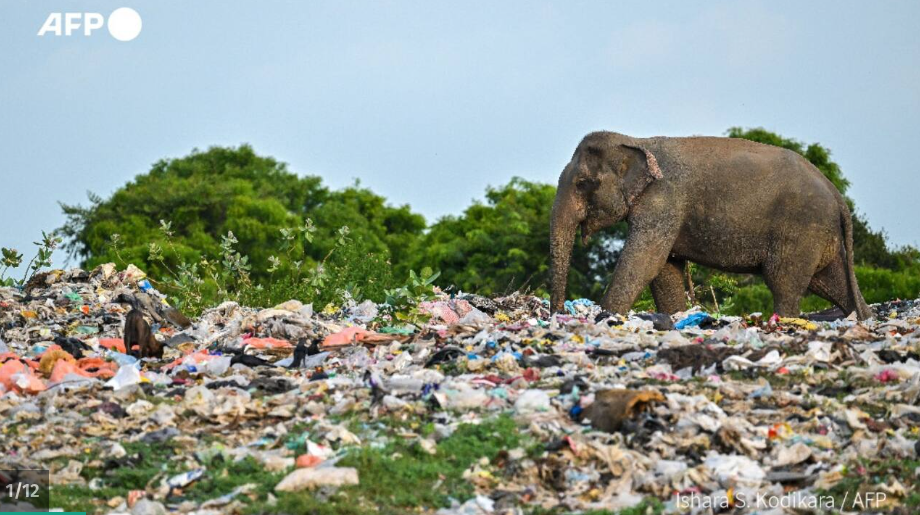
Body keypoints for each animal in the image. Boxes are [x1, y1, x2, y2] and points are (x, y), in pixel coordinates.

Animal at [549, 131, 872, 320]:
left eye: (582, 184)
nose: (558, 314)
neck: (637, 140)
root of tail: (837, 195)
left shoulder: (664, 200)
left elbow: (644, 261)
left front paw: (606, 318)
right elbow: (665, 269)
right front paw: (677, 318)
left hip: (802, 230)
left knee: (784, 283)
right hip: (819, 235)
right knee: (830, 282)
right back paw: (863, 317)